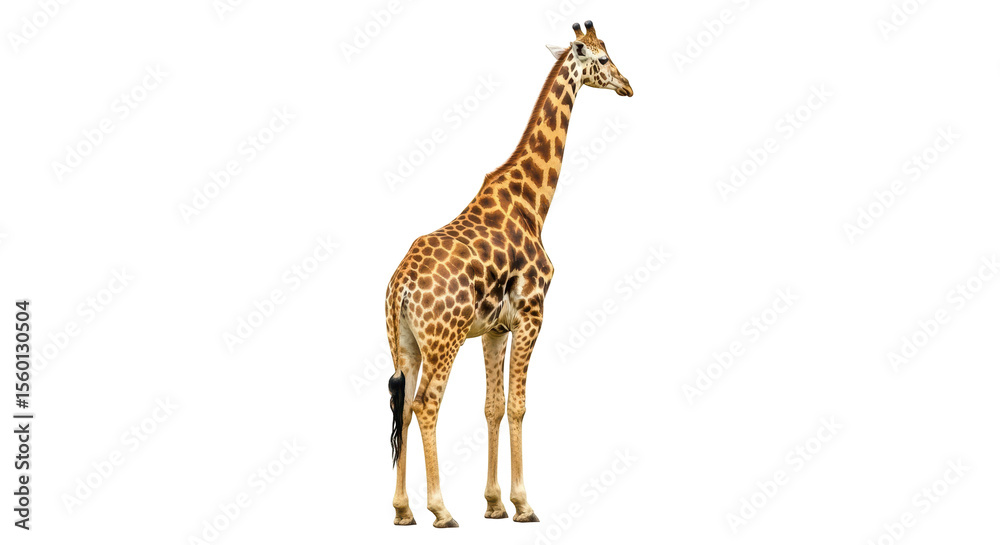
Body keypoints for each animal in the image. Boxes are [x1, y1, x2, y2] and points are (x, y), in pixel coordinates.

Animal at [385, 20, 632, 528]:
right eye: (602, 58)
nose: (627, 86)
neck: (533, 203)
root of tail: (400, 288)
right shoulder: (532, 314)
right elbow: (518, 406)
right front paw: (523, 504)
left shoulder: (494, 329)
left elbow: (493, 408)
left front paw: (495, 504)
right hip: (443, 342)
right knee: (425, 404)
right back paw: (440, 509)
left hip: (404, 343)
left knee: (403, 405)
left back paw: (402, 512)